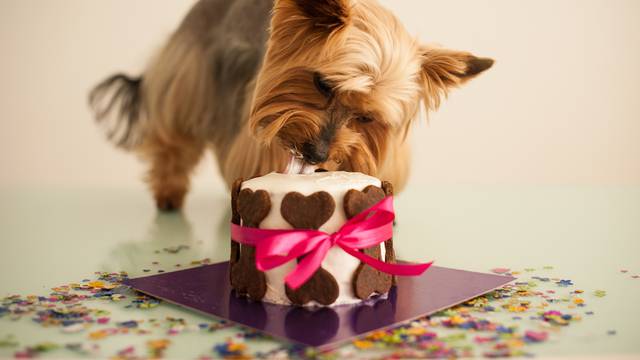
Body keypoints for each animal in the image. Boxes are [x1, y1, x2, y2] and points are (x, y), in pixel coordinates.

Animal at [87, 0, 492, 211]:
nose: (317, 154)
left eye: (367, 116)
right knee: (173, 141)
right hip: (189, 75)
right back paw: (169, 195)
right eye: (323, 84)